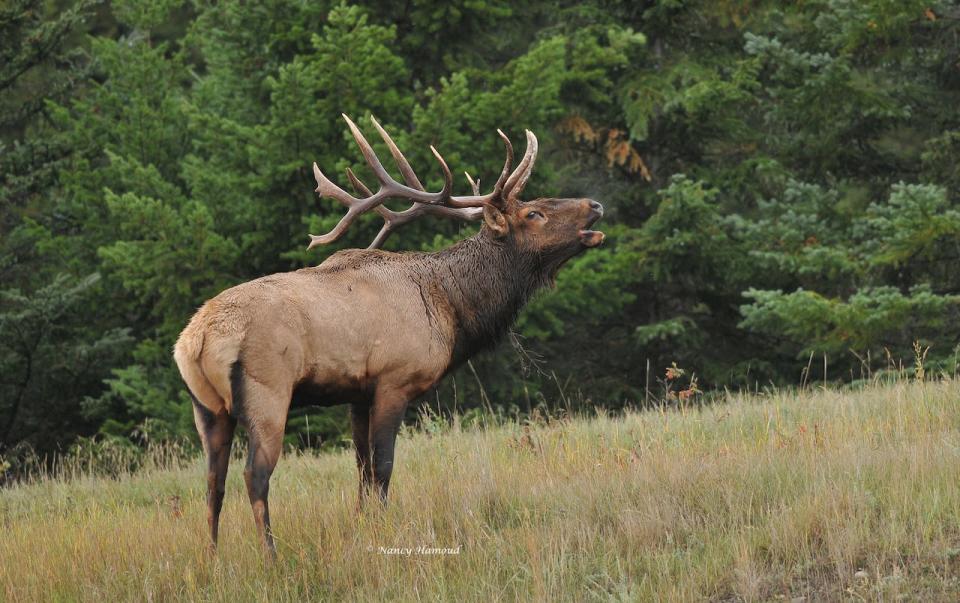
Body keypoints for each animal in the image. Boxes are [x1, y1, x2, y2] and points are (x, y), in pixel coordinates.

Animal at [172, 114, 604, 556]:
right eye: (534, 213)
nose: (596, 205)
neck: (451, 309)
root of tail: (195, 341)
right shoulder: (394, 381)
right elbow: (382, 468)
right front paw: (384, 532)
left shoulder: (357, 393)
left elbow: (361, 469)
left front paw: (361, 525)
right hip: (268, 391)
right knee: (254, 476)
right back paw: (271, 557)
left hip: (207, 407)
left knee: (213, 483)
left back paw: (213, 556)